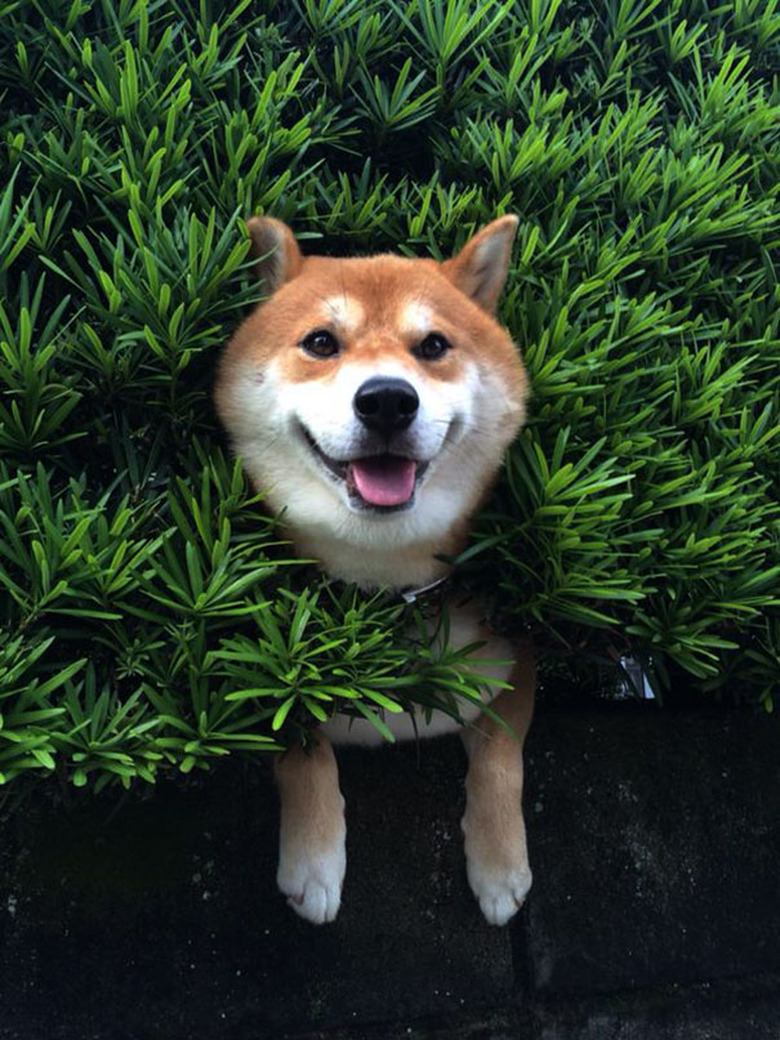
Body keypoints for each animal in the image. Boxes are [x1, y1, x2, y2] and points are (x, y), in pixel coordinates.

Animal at [215, 217, 536, 927]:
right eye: (321, 342)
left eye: (434, 345)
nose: (387, 399)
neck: (384, 592)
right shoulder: (260, 671)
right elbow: (300, 744)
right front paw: (313, 859)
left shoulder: (517, 657)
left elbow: (502, 758)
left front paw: (501, 865)